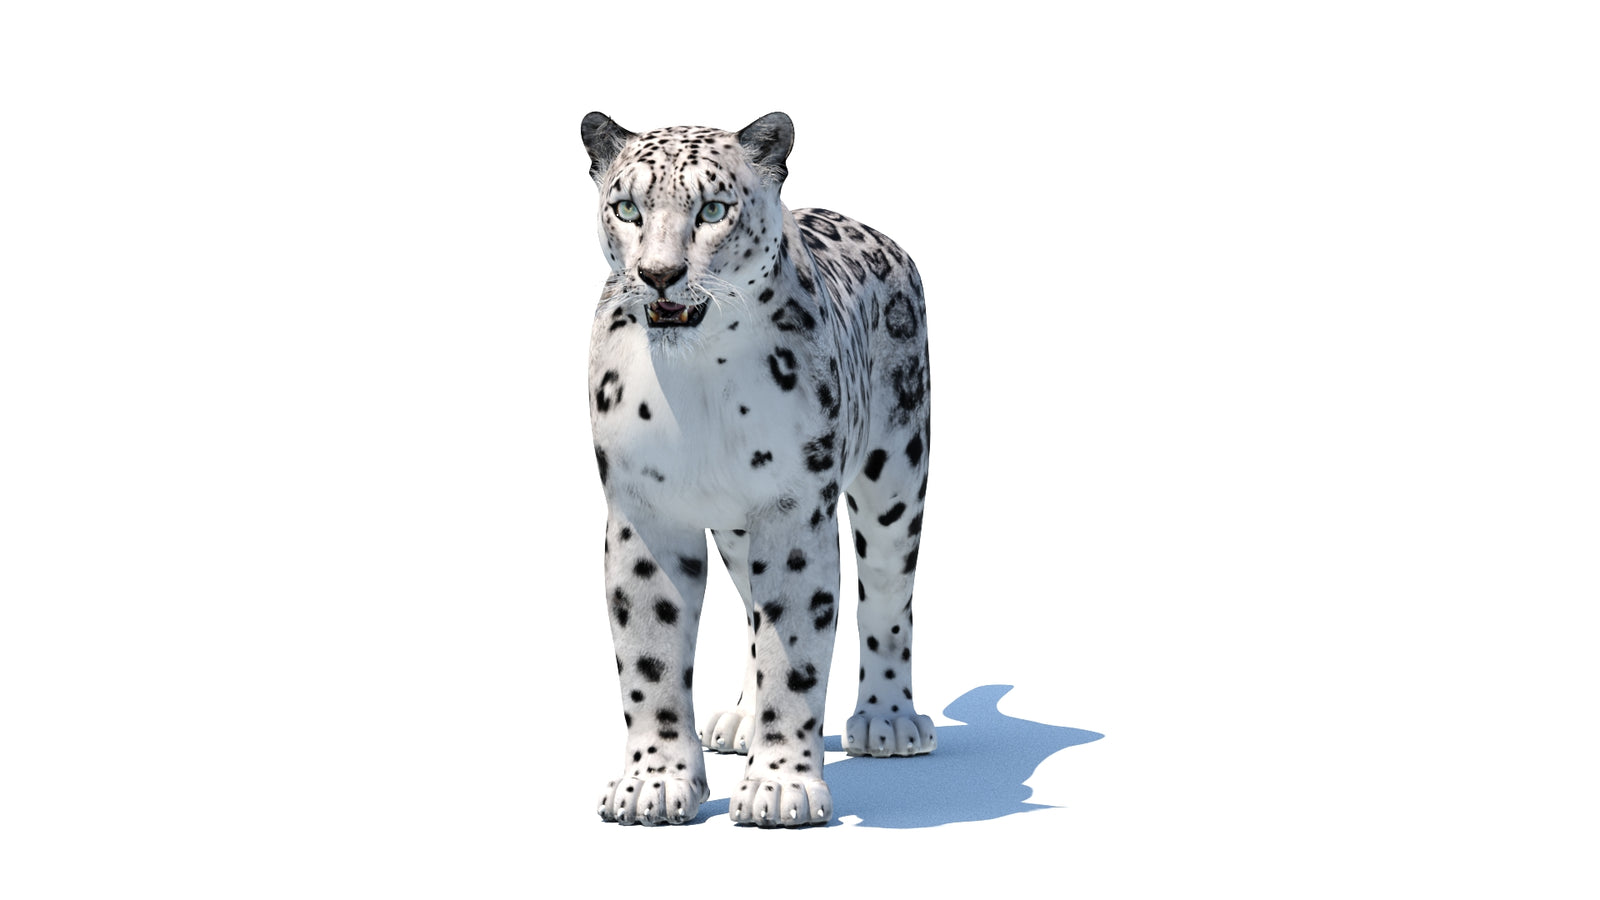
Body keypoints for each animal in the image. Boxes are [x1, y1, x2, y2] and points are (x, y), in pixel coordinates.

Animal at [582, 112, 934, 827]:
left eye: (713, 209)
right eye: (627, 207)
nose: (658, 274)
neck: (695, 386)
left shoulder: (795, 509)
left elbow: (794, 650)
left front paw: (779, 788)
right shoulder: (643, 510)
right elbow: (649, 654)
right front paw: (653, 784)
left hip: (896, 474)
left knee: (887, 596)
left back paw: (888, 720)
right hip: (740, 530)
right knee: (750, 605)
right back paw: (740, 720)